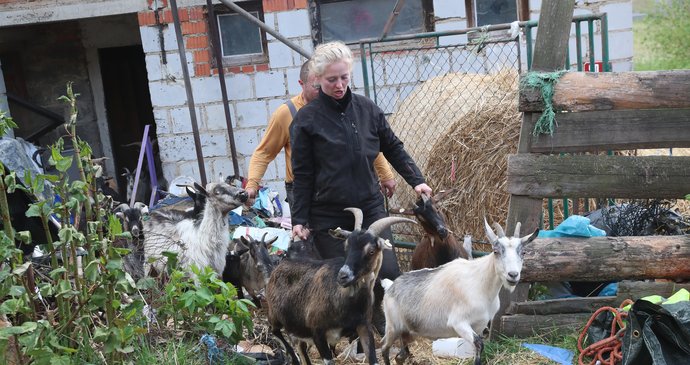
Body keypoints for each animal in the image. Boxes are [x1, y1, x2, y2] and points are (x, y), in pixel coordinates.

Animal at [264, 208, 414, 364]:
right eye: (346, 246)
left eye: (371, 251)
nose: (343, 276)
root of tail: (279, 267)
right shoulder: (317, 332)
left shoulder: (363, 327)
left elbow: (373, 359)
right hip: (275, 315)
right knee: (274, 330)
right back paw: (293, 357)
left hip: (297, 327)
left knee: (300, 345)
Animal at [378, 218, 536, 362]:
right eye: (495, 251)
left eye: (523, 253)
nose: (513, 275)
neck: (481, 285)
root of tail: (390, 285)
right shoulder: (458, 322)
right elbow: (479, 344)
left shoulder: (480, 325)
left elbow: (476, 349)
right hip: (392, 326)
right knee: (384, 347)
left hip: (408, 331)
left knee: (401, 355)